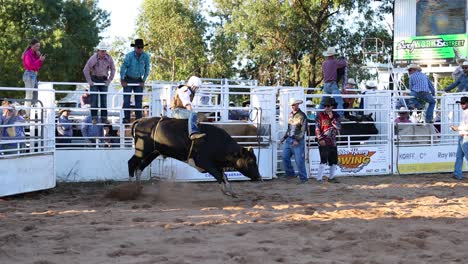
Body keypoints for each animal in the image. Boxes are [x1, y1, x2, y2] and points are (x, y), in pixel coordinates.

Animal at [128, 117, 264, 196]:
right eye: (251, 161)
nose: (259, 177)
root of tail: (141, 121)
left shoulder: (216, 164)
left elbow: (224, 176)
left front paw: (230, 191)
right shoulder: (204, 162)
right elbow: (219, 175)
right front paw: (225, 191)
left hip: (153, 152)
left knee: (140, 167)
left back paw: (138, 187)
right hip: (142, 151)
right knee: (132, 163)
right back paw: (131, 186)